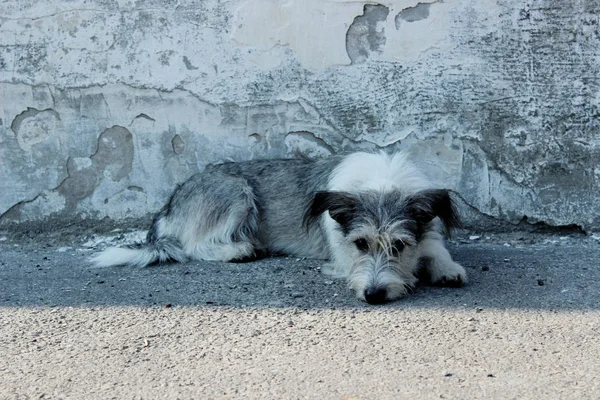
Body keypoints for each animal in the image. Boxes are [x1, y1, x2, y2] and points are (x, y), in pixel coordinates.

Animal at [92, 150, 468, 304]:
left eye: (399, 246)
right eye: (360, 244)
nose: (373, 296)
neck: (382, 183)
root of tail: (170, 202)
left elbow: (432, 245)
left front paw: (446, 268)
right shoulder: (343, 257)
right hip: (237, 192)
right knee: (194, 246)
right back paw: (241, 249)